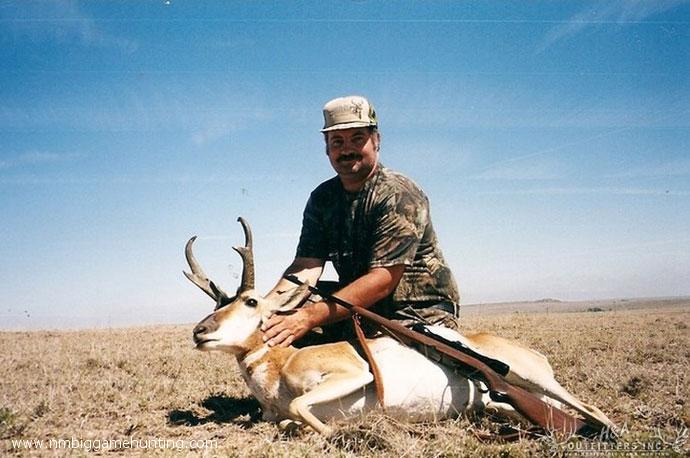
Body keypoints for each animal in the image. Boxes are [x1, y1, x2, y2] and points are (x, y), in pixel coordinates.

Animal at [184, 218, 612, 436]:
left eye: (250, 302)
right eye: (217, 304)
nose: (199, 332)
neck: (279, 366)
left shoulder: (352, 374)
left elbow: (298, 407)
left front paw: (341, 434)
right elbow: (289, 417)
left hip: (531, 378)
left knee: (592, 409)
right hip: (503, 401)